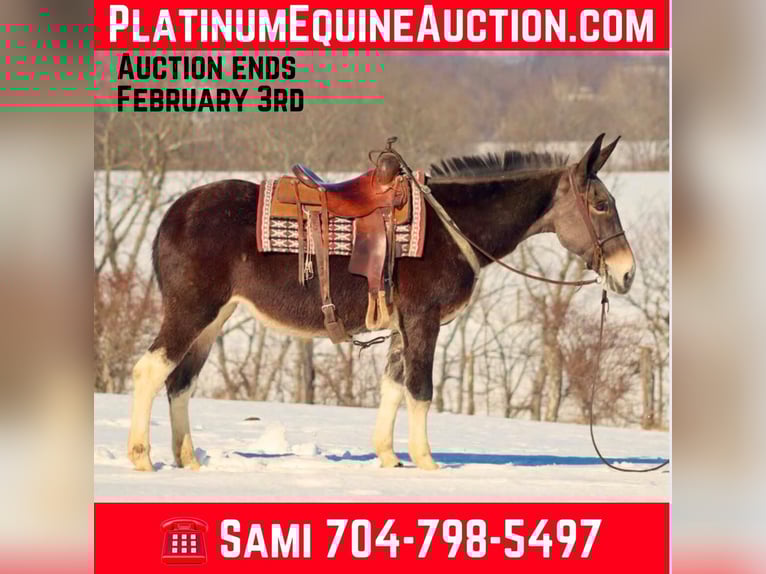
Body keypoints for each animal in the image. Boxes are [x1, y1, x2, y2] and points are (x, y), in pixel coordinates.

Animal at [127, 134, 635, 472]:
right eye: (601, 204)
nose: (627, 272)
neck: (449, 226)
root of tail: (173, 214)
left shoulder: (400, 326)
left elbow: (392, 387)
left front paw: (390, 458)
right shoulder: (424, 319)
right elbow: (420, 390)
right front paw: (428, 463)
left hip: (214, 319)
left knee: (180, 383)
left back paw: (189, 461)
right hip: (191, 311)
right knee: (150, 371)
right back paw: (142, 458)